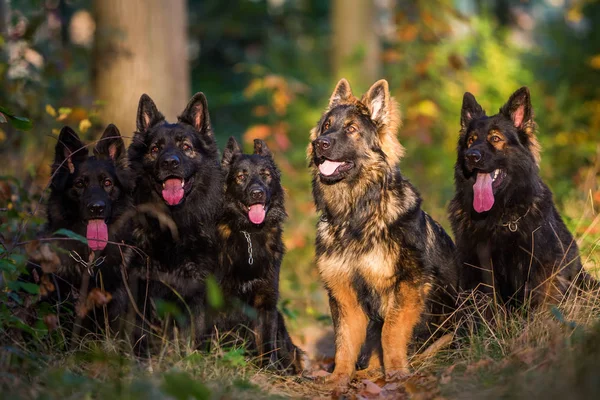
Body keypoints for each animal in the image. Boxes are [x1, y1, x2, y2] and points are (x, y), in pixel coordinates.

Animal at [126, 92, 223, 346]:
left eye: (186, 147)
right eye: (155, 149)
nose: (170, 162)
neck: (174, 222)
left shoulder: (198, 286)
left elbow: (195, 330)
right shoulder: (144, 283)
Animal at [213, 138, 304, 376]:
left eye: (266, 175)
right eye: (241, 176)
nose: (257, 193)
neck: (249, 233)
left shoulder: (266, 302)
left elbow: (267, 342)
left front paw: (271, 370)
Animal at [310, 78, 460, 388]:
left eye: (351, 129)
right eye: (326, 126)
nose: (319, 143)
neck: (356, 215)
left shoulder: (408, 285)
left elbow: (391, 332)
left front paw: (397, 374)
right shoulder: (344, 293)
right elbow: (345, 342)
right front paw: (339, 379)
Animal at [450, 87, 592, 306]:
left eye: (495, 138)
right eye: (471, 140)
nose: (471, 156)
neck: (499, 217)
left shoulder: (544, 267)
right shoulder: (475, 266)